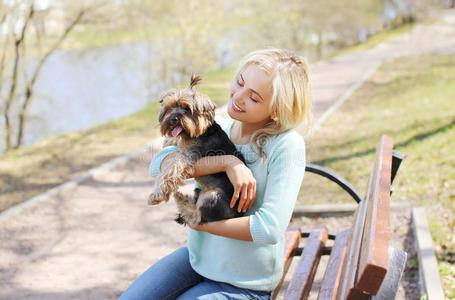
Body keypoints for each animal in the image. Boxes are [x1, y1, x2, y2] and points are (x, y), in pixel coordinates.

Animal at [148, 74, 246, 226]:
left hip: (212, 197)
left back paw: (181, 200)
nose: (174, 119)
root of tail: (238, 214)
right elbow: (176, 142)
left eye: (187, 108)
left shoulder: (187, 157)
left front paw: (157, 195)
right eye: (170, 107)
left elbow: (170, 170)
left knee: (197, 217)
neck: (198, 133)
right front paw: (169, 141)